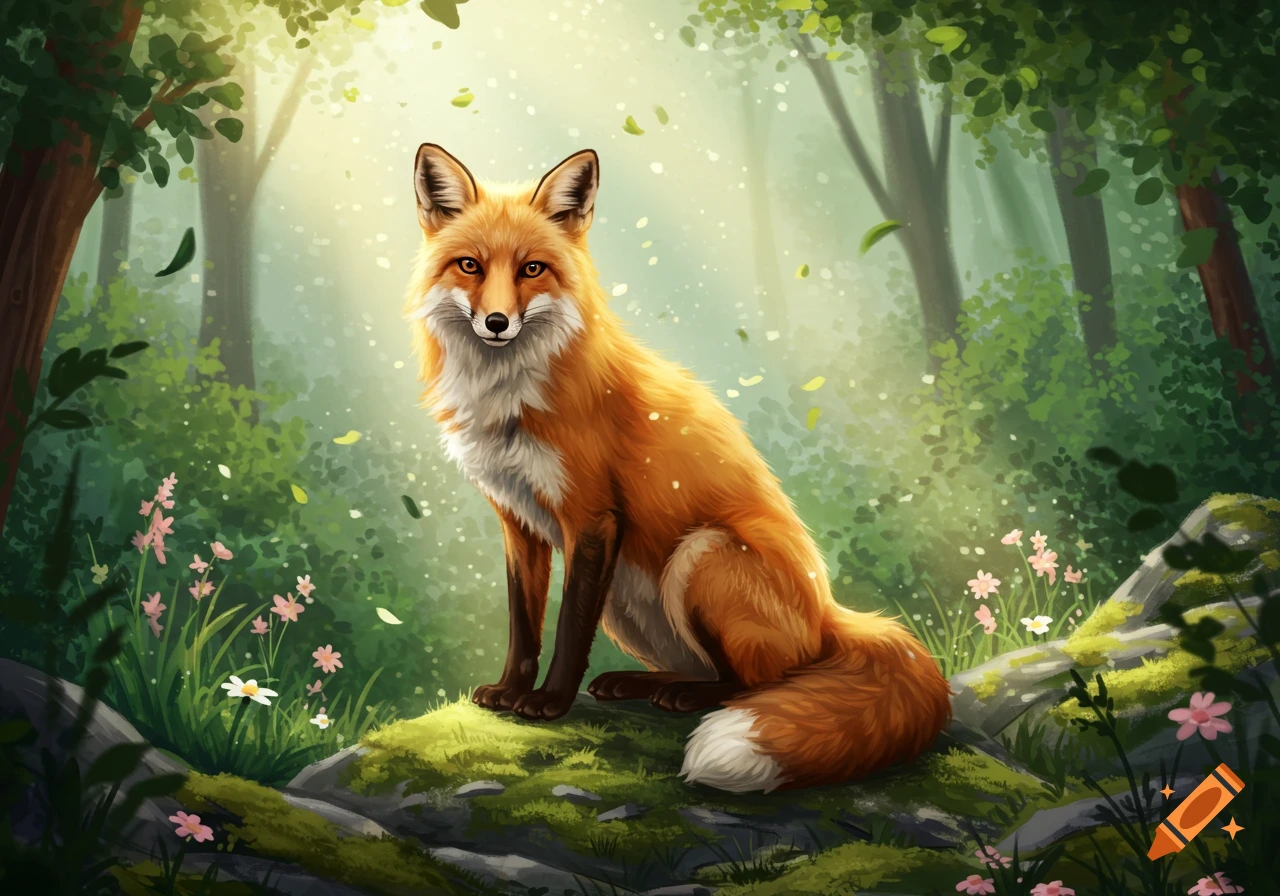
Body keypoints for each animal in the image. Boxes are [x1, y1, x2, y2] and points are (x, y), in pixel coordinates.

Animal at [402, 143, 952, 793]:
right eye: (469, 265)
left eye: (533, 269)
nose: (495, 323)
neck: (510, 398)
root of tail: (829, 615)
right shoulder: (520, 523)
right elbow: (524, 627)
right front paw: (510, 691)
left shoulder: (592, 518)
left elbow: (567, 633)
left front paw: (548, 704)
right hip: (626, 600)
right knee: (709, 671)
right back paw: (642, 684)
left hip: (700, 556)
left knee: (757, 683)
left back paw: (687, 698)